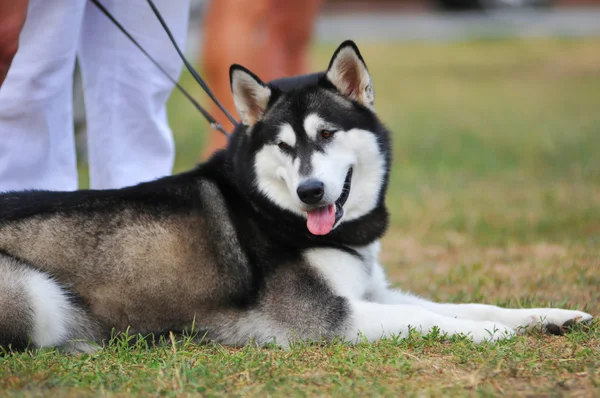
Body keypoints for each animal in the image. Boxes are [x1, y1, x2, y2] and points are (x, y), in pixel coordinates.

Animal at [0, 39, 592, 352]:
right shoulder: (325, 318)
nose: (310, 192)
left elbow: (463, 303)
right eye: (284, 146)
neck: (270, 210)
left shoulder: (372, 290)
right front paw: (491, 331)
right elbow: (437, 319)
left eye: (327, 134)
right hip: (38, 295)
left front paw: (551, 315)